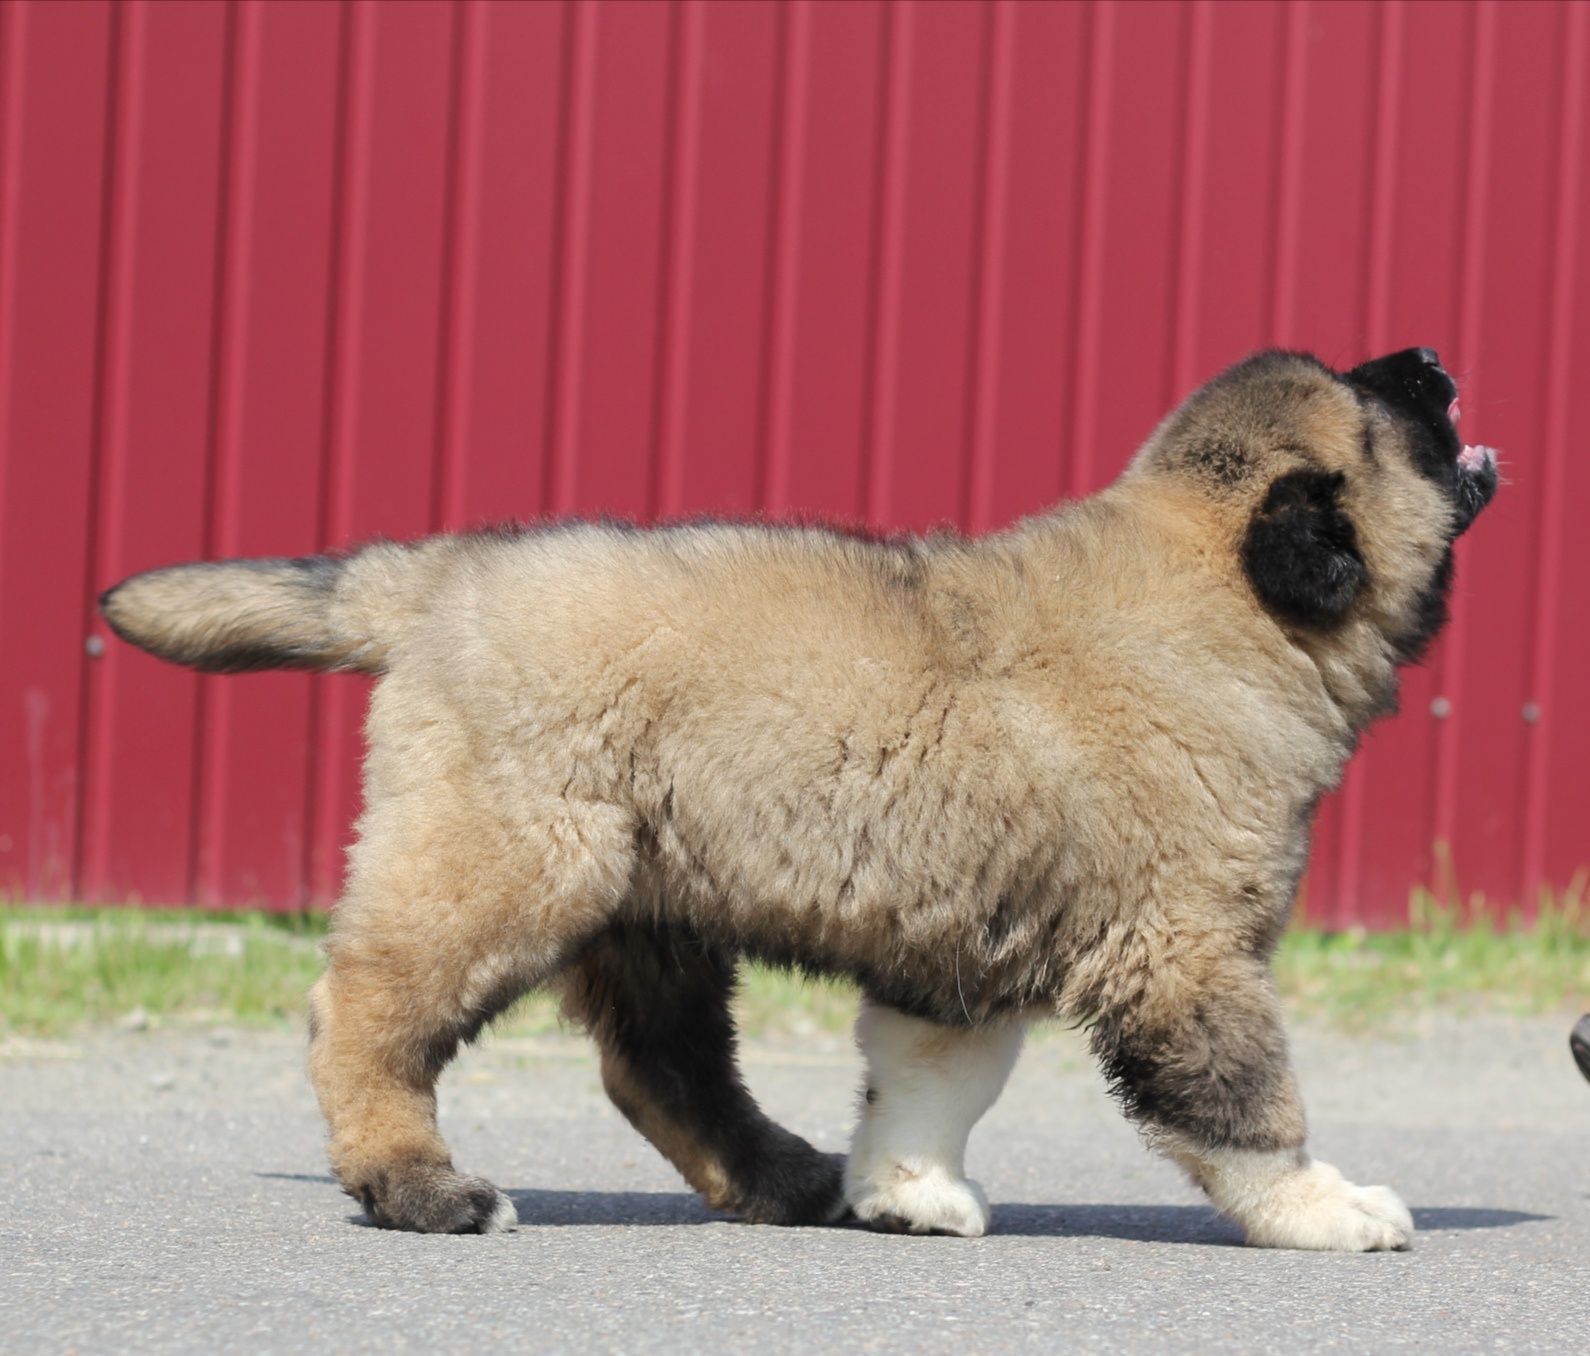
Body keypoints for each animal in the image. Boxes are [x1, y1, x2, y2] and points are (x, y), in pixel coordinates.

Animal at [105, 346, 1494, 1246]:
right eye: (1383, 410)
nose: (1431, 354)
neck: (1220, 597)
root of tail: (440, 578)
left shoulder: (966, 933)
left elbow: (931, 1077)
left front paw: (905, 1191)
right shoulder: (1185, 949)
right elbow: (1248, 1098)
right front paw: (1323, 1208)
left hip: (648, 900)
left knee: (659, 1064)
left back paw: (781, 1177)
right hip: (511, 861)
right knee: (365, 1013)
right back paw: (421, 1190)